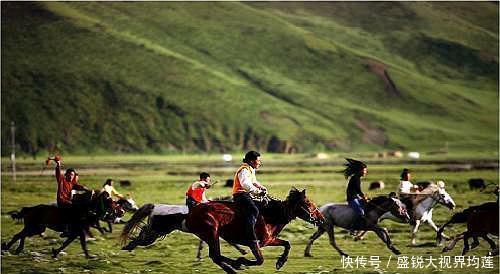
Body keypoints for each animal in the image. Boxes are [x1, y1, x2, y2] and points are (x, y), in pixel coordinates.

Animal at [121, 188, 324, 274]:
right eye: (308, 204)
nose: (321, 218)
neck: (269, 215)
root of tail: (191, 211)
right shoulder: (256, 243)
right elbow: (259, 260)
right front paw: (242, 261)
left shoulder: (269, 240)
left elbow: (287, 244)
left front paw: (280, 262)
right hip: (211, 233)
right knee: (216, 256)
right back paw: (235, 267)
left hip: (178, 230)